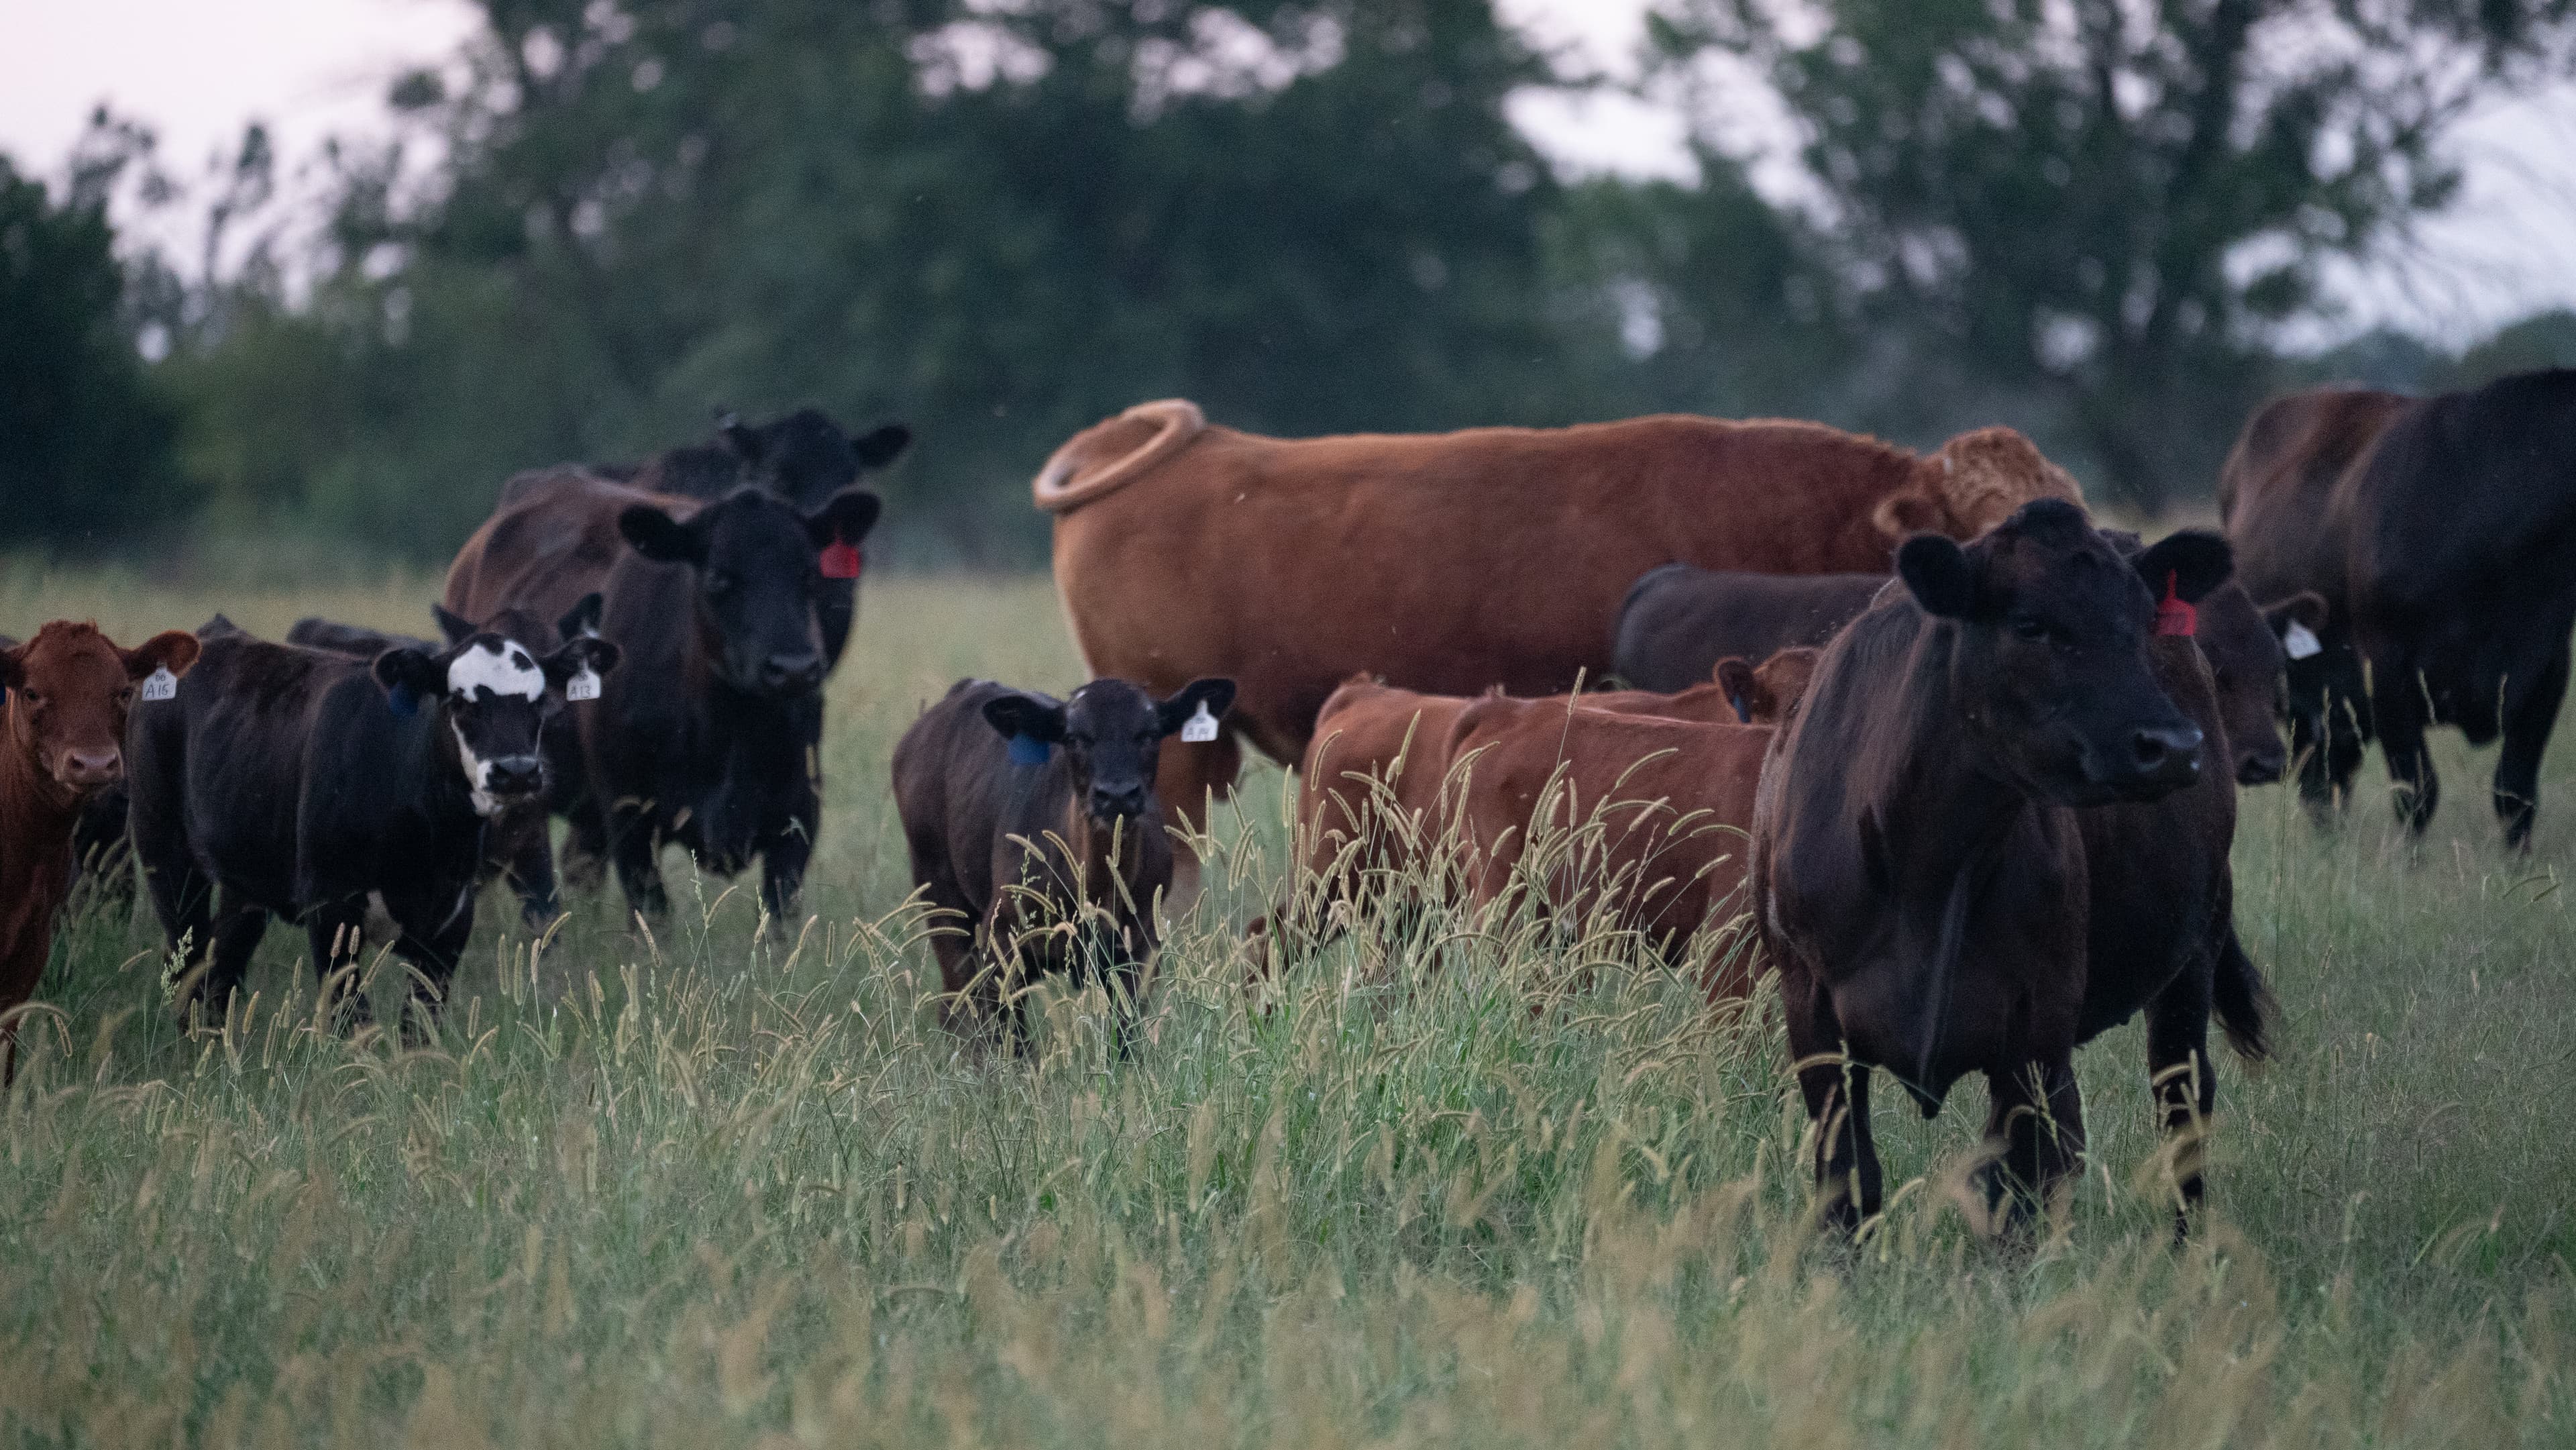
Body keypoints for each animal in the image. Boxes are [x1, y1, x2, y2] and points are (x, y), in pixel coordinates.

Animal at [127, 613, 618, 1034]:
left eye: (539, 704)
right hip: (166, 856)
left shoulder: (449, 920)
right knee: (187, 960)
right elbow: (353, 1019)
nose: (516, 771)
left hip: (245, 882)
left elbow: (419, 1024)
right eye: (461, 702)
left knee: (221, 966)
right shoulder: (330, 907)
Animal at [445, 474, 882, 925]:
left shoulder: (798, 816)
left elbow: (781, 920)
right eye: (719, 579)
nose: (794, 669)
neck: (730, 732)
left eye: (810, 575)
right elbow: (653, 915)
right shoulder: (629, 817)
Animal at [891, 675, 1236, 1047]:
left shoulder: (1141, 949)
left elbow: (1123, 1039)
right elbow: (1009, 1041)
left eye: (1150, 733)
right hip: (938, 890)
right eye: (1073, 737)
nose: (1117, 795)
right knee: (958, 1007)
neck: (1095, 894)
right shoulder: (1000, 939)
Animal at [1751, 499, 2274, 1240]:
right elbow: (1849, 1183)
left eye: (2145, 619)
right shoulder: (1813, 1015)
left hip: (2193, 953)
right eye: (2029, 623)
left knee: (2181, 1106)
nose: (2173, 745)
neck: (1928, 866)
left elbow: (2015, 1192)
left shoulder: (2034, 1022)